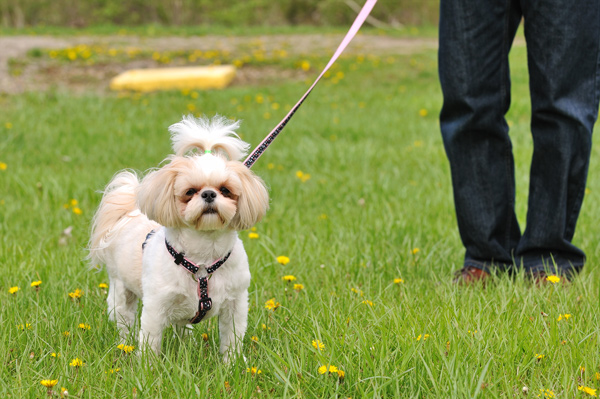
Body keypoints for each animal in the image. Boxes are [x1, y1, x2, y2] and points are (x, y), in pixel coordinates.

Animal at [88, 114, 268, 360]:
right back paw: (125, 345)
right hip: (120, 291)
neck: (203, 260)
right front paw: (148, 366)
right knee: (125, 321)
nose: (209, 194)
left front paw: (231, 364)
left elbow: (232, 338)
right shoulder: (156, 305)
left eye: (225, 190)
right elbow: (151, 340)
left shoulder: (236, 303)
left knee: (183, 328)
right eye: (190, 192)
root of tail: (129, 213)